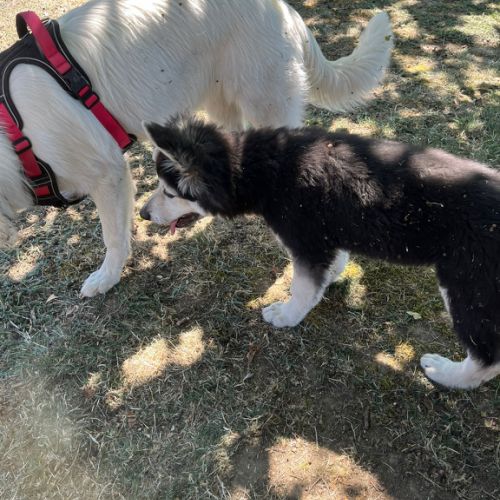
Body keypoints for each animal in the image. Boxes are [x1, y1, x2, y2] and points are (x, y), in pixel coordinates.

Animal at [0, 0, 393, 297]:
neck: (14, 128)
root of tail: (285, 9)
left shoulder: (108, 174)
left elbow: (113, 236)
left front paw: (106, 278)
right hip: (221, 105)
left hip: (266, 105)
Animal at [139, 117, 500, 390]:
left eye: (169, 193)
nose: (142, 214)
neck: (263, 167)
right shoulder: (326, 238)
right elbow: (329, 267)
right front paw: (331, 279)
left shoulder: (306, 243)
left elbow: (301, 288)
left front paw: (287, 315)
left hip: (469, 285)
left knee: (487, 356)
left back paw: (448, 374)